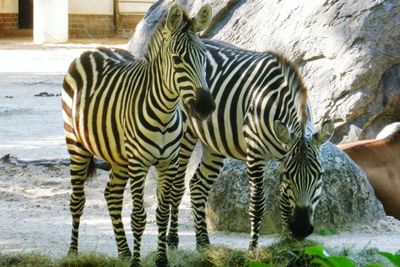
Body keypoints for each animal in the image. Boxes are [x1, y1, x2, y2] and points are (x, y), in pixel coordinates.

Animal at [61, 3, 214, 266]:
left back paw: (123, 252)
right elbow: (139, 217)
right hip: (76, 144)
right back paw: (73, 252)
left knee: (111, 195)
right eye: (178, 59)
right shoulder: (139, 163)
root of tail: (93, 49)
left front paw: (160, 260)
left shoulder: (168, 162)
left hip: (119, 157)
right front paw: (137, 261)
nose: (205, 107)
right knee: (77, 200)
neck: (164, 113)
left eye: (204, 57)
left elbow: (161, 213)